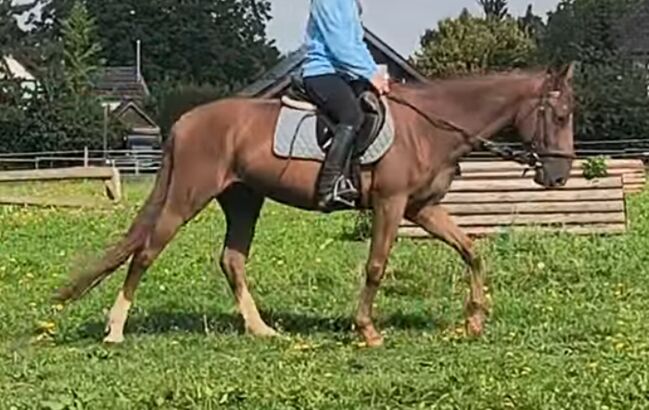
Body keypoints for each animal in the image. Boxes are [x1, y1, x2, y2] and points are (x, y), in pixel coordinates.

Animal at [55, 63, 576, 347]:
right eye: (560, 114)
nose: (558, 175)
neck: (429, 126)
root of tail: (184, 122)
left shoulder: (420, 209)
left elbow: (471, 250)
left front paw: (474, 320)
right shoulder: (391, 204)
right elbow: (376, 266)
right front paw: (367, 330)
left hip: (242, 199)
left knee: (231, 260)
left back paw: (261, 329)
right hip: (188, 196)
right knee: (146, 253)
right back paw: (115, 329)